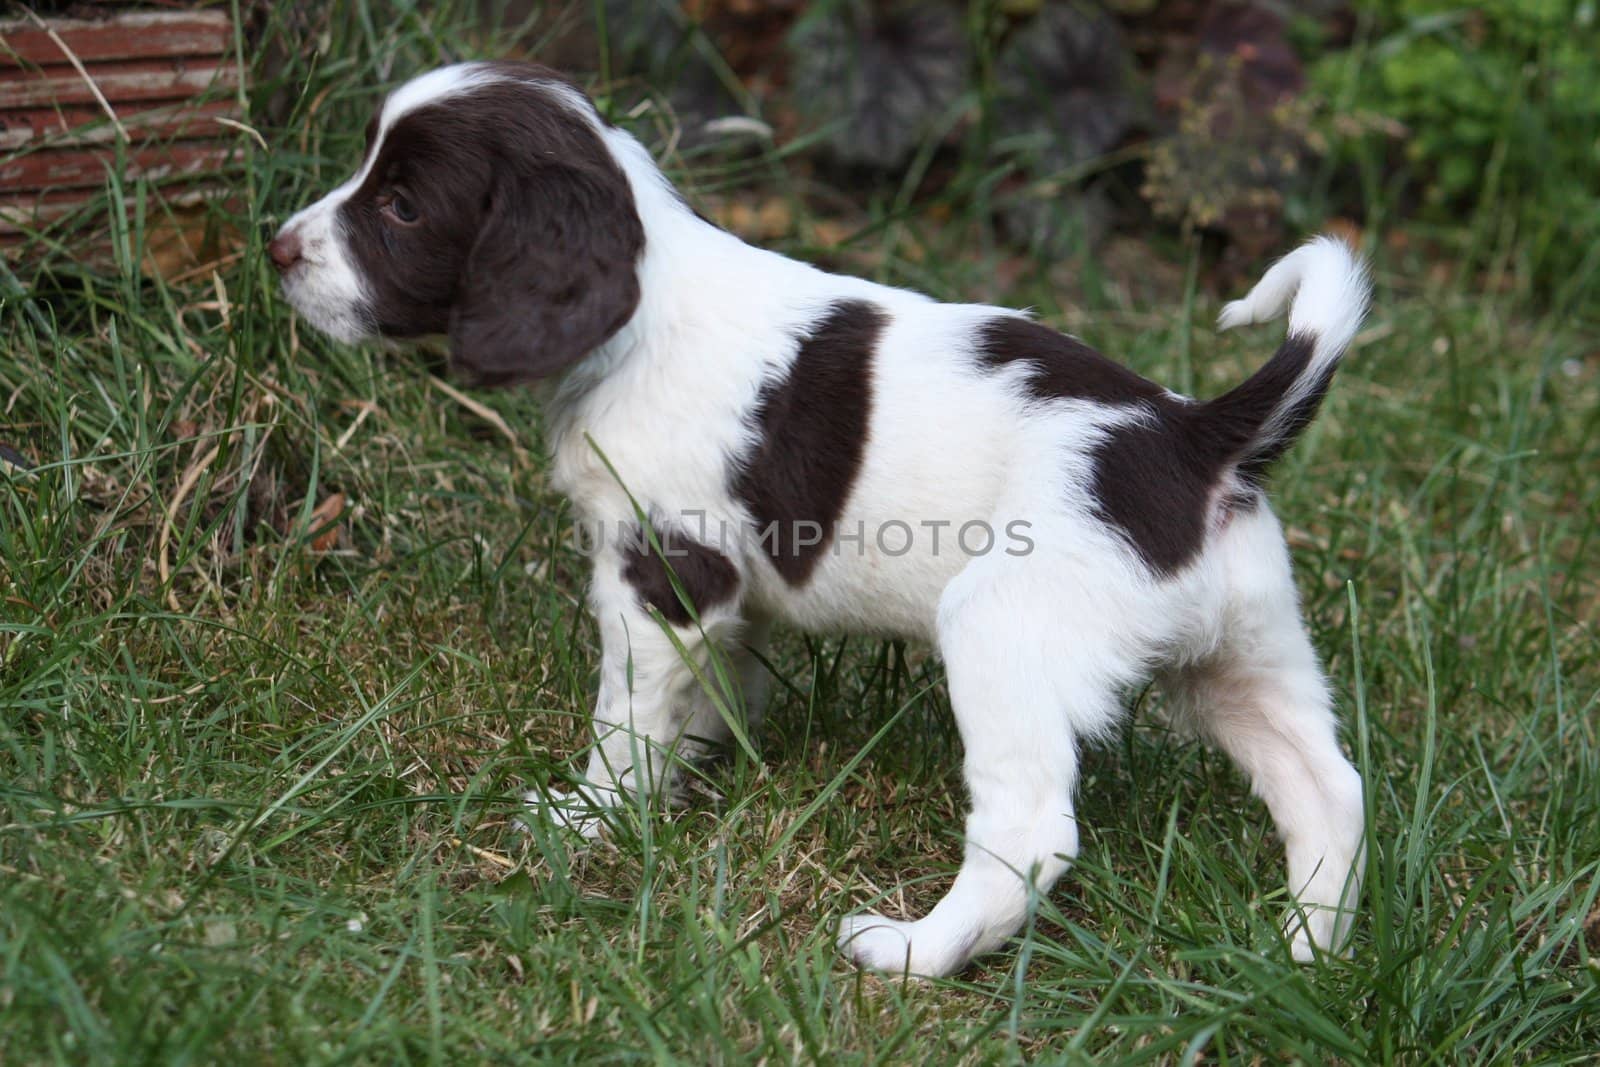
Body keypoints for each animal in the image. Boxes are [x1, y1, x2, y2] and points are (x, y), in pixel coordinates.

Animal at [268, 58, 1369, 979]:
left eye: (402, 206)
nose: (277, 249)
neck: (643, 315)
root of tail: (1193, 435)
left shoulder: (663, 573)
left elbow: (626, 718)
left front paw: (591, 815)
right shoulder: (719, 601)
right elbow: (709, 691)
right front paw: (694, 764)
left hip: (1004, 630)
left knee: (1030, 833)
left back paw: (913, 951)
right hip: (1243, 654)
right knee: (1331, 790)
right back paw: (1305, 954)